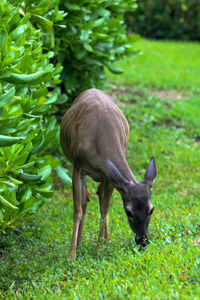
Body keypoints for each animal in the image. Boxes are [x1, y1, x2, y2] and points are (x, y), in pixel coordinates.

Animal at [60, 88, 157, 258]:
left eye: (151, 209)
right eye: (128, 212)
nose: (143, 241)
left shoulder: (110, 175)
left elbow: (104, 208)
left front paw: (100, 248)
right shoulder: (78, 167)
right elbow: (78, 210)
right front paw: (72, 255)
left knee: (97, 197)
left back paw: (106, 241)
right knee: (86, 201)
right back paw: (79, 245)